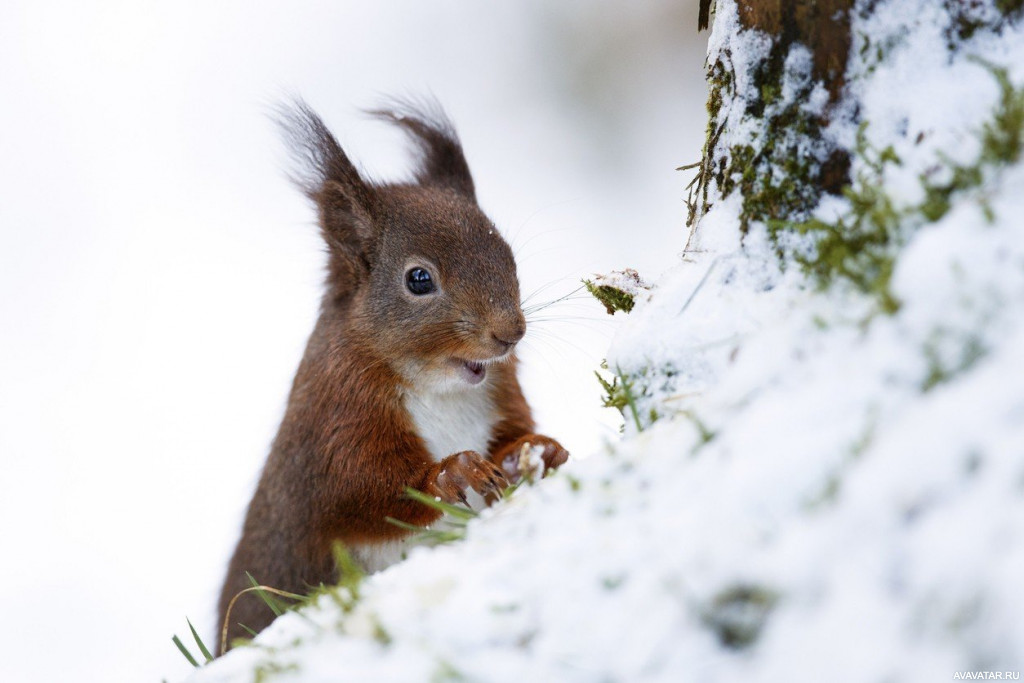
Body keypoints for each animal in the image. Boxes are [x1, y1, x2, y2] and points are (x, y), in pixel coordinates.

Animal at [216, 100, 569, 651]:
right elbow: (361, 492)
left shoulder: (502, 389)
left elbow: (514, 433)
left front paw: (536, 449)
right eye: (418, 279)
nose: (511, 333)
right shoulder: (338, 416)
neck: (440, 388)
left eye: (507, 253)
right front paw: (452, 472)